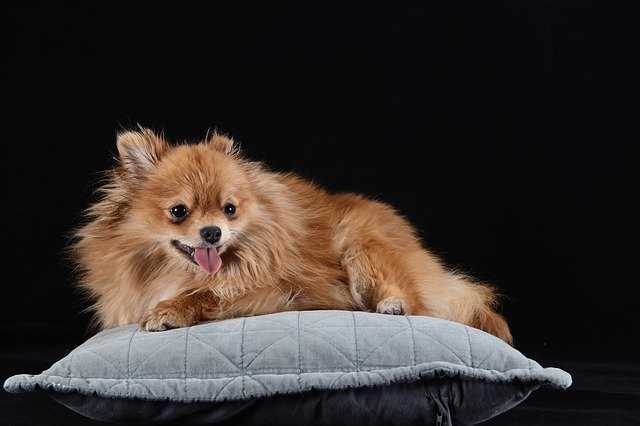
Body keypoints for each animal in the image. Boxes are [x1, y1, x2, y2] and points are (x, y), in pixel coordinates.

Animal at [74, 128, 516, 344]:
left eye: (229, 209)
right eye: (178, 212)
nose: (213, 232)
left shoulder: (274, 290)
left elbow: (212, 294)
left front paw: (171, 310)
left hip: (361, 245)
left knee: (416, 300)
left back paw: (391, 306)